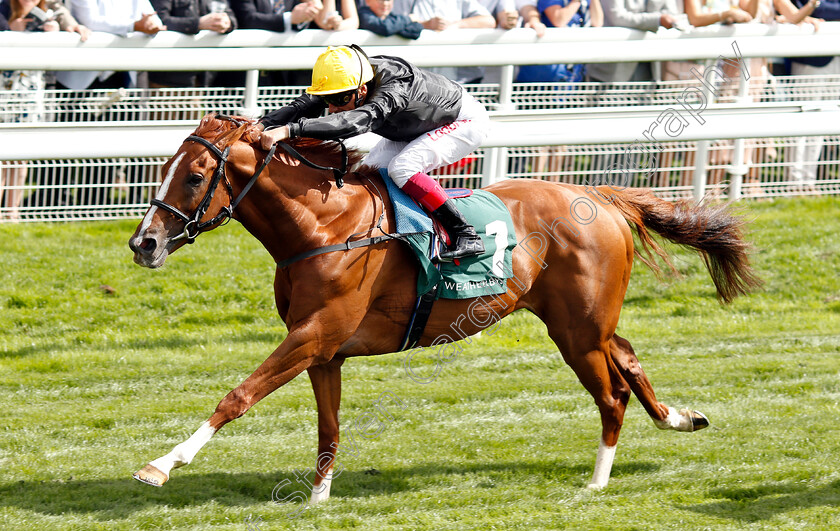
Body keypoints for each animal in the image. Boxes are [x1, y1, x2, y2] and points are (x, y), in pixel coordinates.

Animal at [126, 115, 760, 502]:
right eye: (166, 168)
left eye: (196, 176)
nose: (143, 243)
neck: (324, 228)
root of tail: (597, 195)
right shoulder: (325, 349)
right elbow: (328, 425)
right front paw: (318, 497)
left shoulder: (314, 333)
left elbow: (238, 396)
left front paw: (163, 463)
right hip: (587, 322)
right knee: (627, 355)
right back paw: (679, 417)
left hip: (577, 331)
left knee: (613, 395)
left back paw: (597, 483)